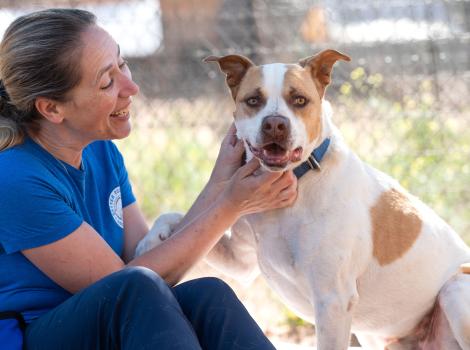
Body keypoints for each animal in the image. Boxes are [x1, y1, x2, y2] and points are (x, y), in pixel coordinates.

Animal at [136, 50, 470, 350]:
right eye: (253, 100)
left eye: (299, 100)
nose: (274, 124)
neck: (295, 184)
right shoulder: (239, 260)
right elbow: (175, 216)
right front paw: (150, 242)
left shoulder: (332, 301)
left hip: (455, 289)